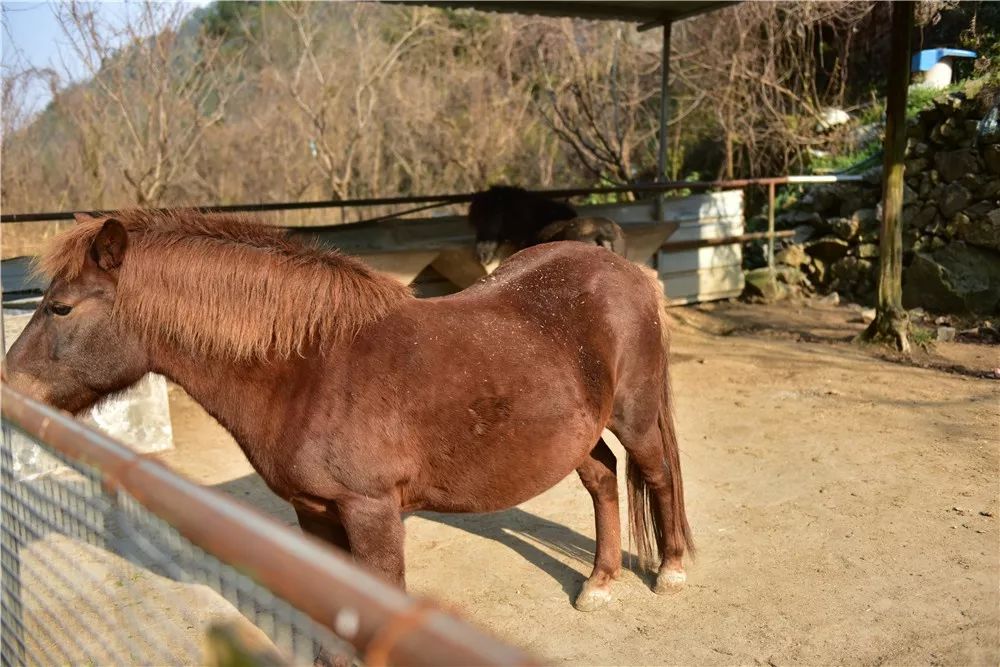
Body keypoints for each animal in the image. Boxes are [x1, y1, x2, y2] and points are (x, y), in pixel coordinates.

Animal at [3, 210, 692, 616]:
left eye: (60, 308)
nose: (10, 386)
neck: (308, 370)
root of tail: (626, 269)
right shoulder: (314, 514)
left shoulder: (372, 514)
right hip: (577, 433)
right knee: (602, 479)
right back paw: (600, 582)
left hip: (634, 416)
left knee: (656, 477)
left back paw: (672, 571)